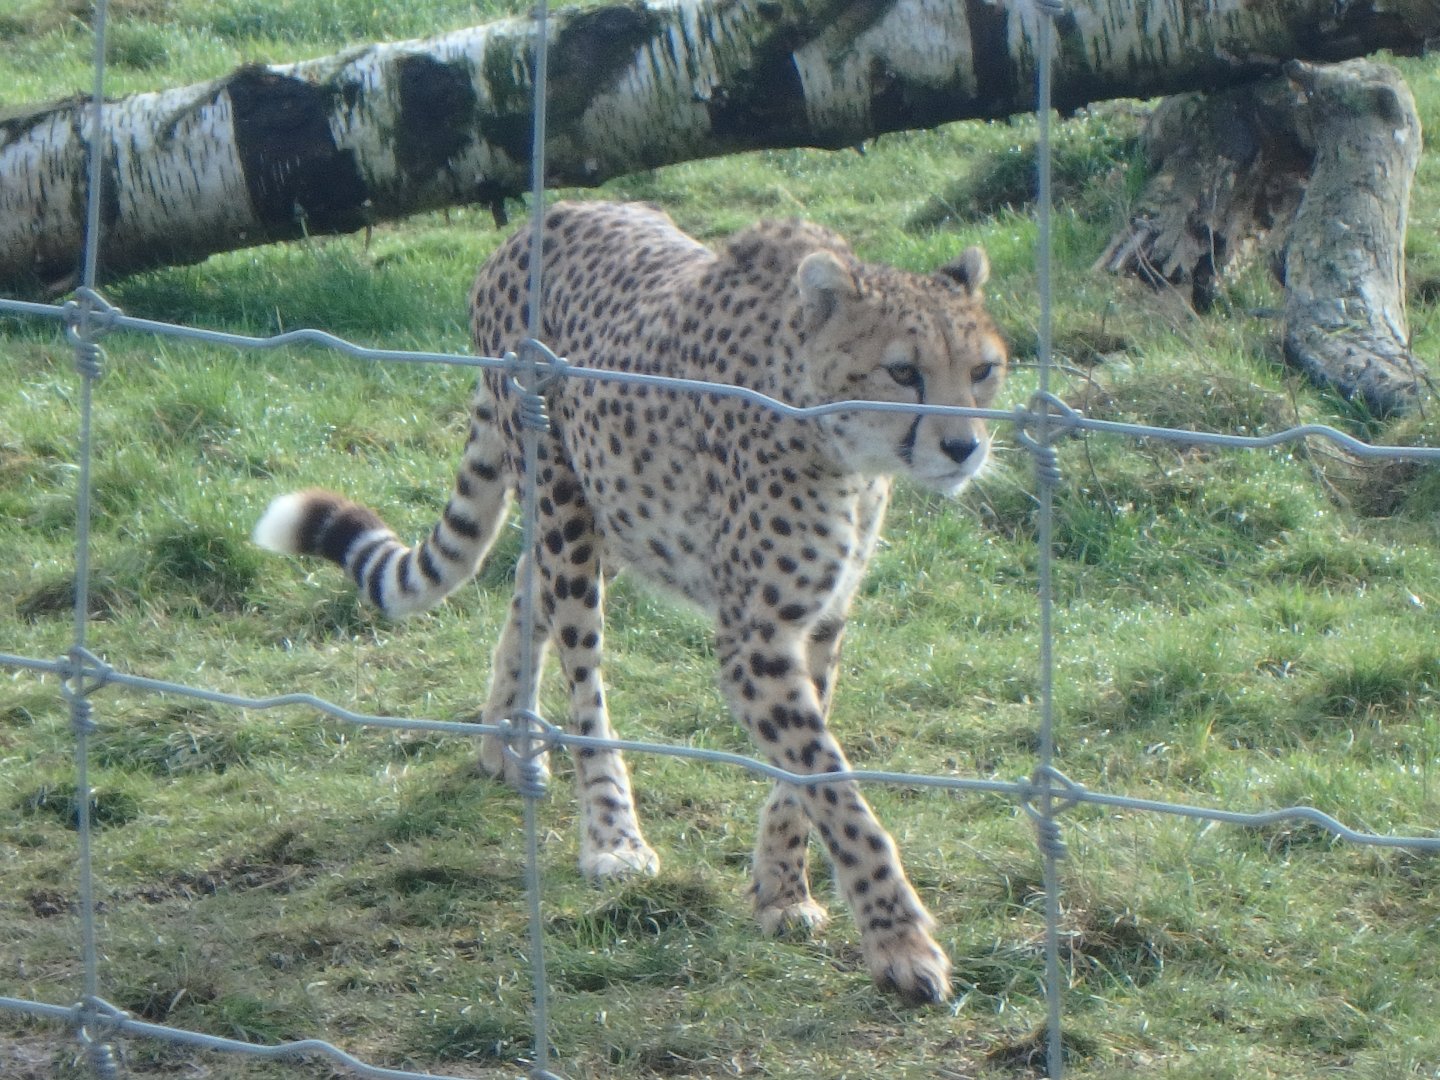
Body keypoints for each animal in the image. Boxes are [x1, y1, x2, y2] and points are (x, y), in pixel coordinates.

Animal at [253, 200, 1007, 1004]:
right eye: (902, 371)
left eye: (983, 370)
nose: (964, 448)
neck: (836, 442)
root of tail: (540, 221)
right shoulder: (754, 640)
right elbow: (836, 789)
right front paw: (901, 942)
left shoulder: (819, 621)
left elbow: (804, 778)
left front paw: (781, 889)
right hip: (564, 504)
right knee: (580, 668)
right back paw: (611, 835)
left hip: (608, 510)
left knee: (526, 593)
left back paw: (503, 741)